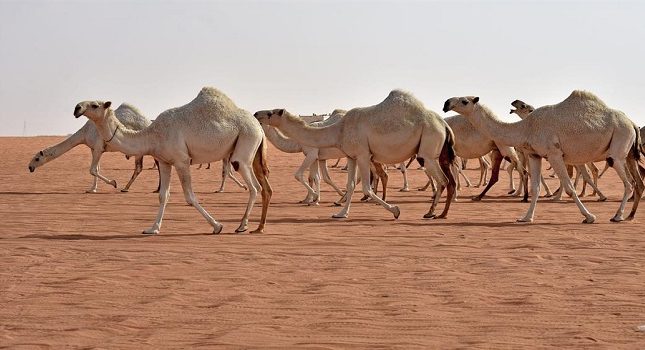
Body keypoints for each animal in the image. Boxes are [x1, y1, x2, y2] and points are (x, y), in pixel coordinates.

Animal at [27, 102, 160, 193]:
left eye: (37, 159)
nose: (30, 167)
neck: (85, 133)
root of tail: (149, 122)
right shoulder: (93, 148)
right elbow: (97, 169)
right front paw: (92, 189)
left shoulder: (98, 147)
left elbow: (92, 170)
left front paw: (113, 183)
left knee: (142, 167)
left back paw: (130, 188)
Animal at [75, 87, 272, 235]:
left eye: (94, 105)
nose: (77, 108)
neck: (153, 135)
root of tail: (259, 127)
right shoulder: (164, 161)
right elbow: (163, 196)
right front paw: (153, 228)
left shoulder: (181, 160)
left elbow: (190, 197)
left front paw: (217, 226)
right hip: (251, 151)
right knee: (261, 186)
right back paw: (252, 226)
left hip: (245, 142)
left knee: (254, 186)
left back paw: (242, 225)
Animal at [254, 89, 456, 219]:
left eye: (271, 113)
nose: (256, 113)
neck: (339, 130)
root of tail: (444, 125)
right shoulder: (351, 156)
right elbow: (350, 184)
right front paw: (341, 213)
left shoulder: (363, 154)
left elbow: (365, 186)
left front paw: (395, 210)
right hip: (432, 153)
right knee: (446, 179)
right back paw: (435, 211)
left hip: (428, 149)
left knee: (443, 180)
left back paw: (436, 213)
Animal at [442, 91, 644, 223]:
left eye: (464, 101)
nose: (446, 103)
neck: (527, 127)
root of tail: (632, 122)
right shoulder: (535, 155)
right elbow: (536, 187)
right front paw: (526, 217)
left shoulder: (554, 154)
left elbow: (569, 187)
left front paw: (589, 216)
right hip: (627, 154)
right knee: (636, 181)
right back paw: (627, 214)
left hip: (618, 147)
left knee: (629, 183)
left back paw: (618, 215)